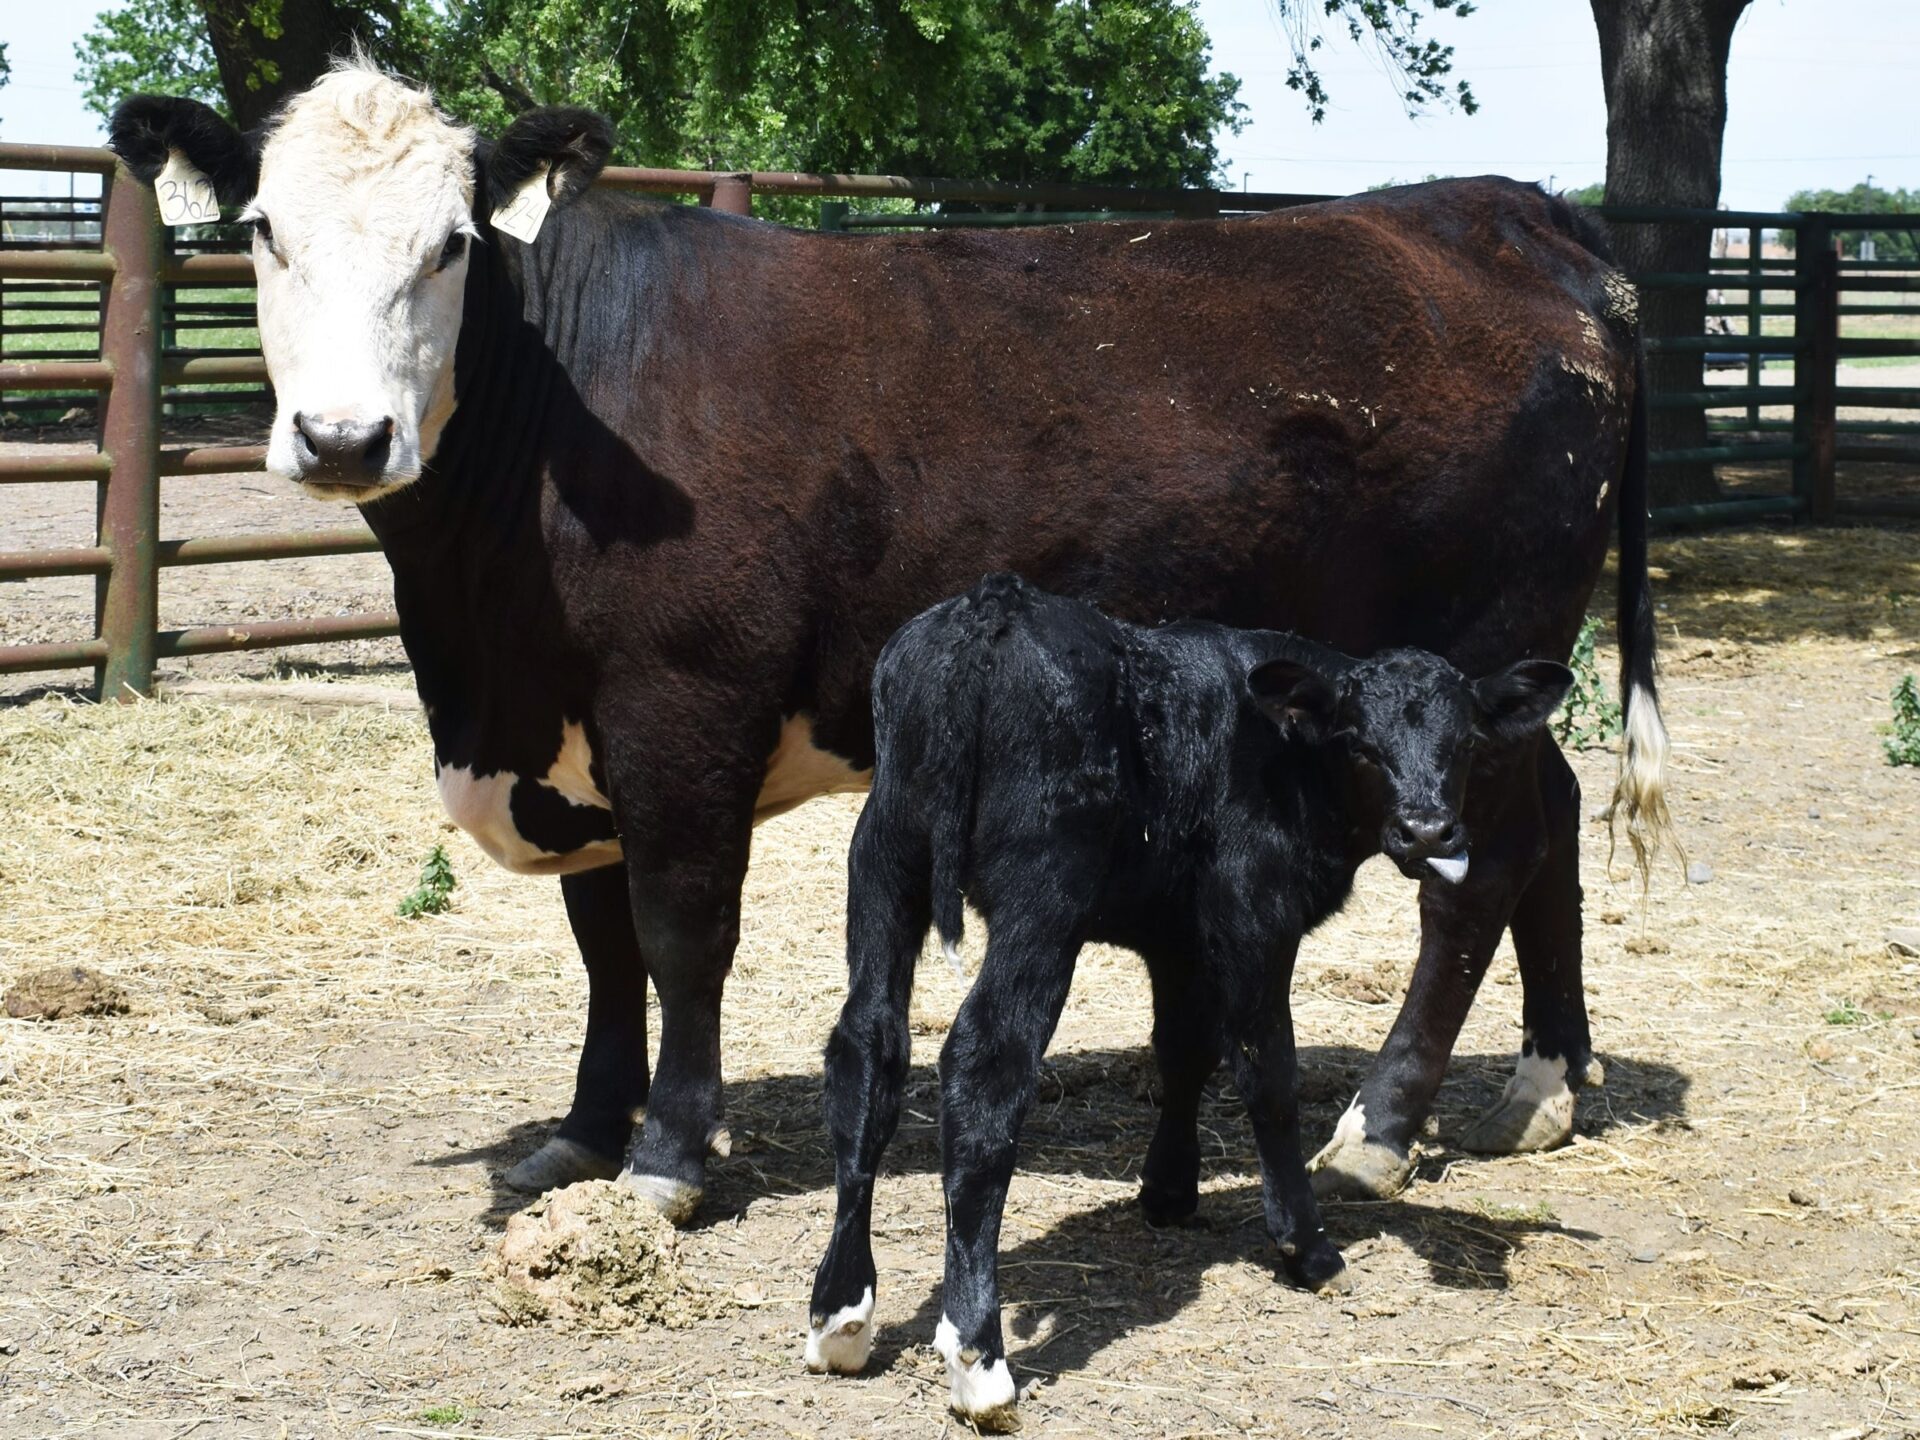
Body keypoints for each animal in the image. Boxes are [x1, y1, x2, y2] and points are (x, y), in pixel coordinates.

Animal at [108, 56, 1666, 1228]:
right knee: (1556, 822)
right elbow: (602, 946)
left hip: (1467, 653)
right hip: (1491, 687)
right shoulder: (571, 734)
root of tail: (1501, 212)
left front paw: (668, 1156)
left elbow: (678, 930)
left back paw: (1382, 1125)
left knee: (1480, 874)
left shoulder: (683, 708)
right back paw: (1544, 1084)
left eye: (450, 246)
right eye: (264, 232)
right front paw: (584, 1132)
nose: (342, 437)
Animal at [802, 579, 1566, 1436]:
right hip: (1043, 890)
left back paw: (841, 1316)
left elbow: (1182, 1050)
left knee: (867, 1049)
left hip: (883, 853)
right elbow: (1268, 1076)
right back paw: (980, 1361)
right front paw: (1306, 1247)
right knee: (985, 1066)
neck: (1283, 753)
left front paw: (1168, 1191)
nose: (1428, 830)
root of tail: (991, 609)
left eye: (1462, 743)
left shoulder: (1178, 936)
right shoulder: (1253, 915)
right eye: (1362, 745)